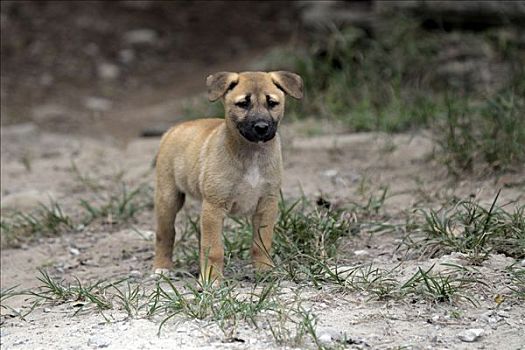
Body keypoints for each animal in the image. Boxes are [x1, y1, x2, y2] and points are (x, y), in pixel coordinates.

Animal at [151, 71, 302, 284]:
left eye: (272, 103)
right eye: (243, 104)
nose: (261, 127)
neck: (251, 153)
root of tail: (174, 129)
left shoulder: (267, 204)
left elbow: (262, 242)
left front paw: (264, 271)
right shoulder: (215, 206)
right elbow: (214, 249)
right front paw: (211, 278)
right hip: (168, 198)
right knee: (165, 234)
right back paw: (162, 268)